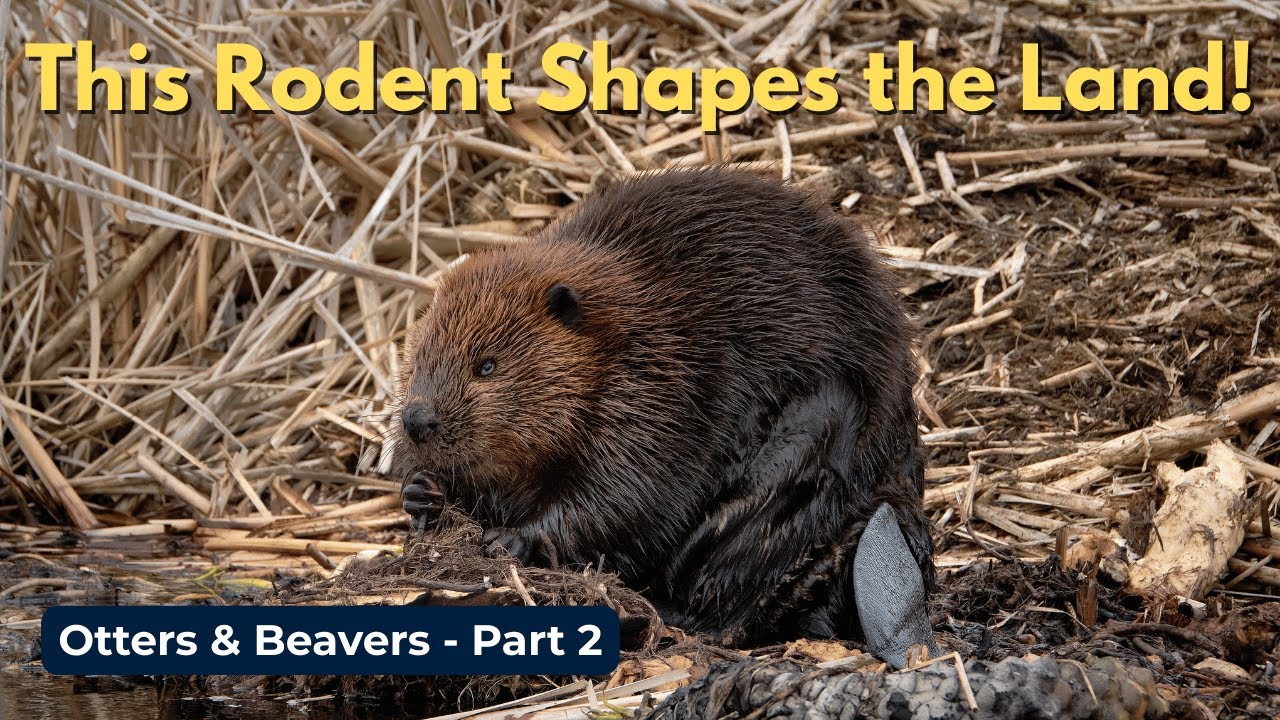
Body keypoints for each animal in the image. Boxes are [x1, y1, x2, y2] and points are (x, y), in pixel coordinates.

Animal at [394, 169, 936, 666]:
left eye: (486, 365)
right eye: (418, 359)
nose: (417, 420)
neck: (620, 328)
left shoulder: (661, 385)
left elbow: (630, 495)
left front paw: (509, 539)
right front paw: (421, 492)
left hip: (822, 419)